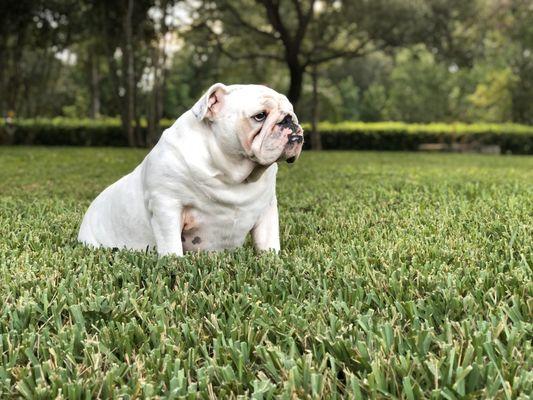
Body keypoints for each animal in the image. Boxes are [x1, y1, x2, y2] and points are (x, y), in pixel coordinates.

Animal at [78, 83, 304, 256]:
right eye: (259, 116)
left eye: (292, 111)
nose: (289, 119)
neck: (231, 173)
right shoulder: (167, 205)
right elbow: (171, 246)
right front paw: (174, 264)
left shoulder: (267, 208)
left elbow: (268, 241)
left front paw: (272, 262)